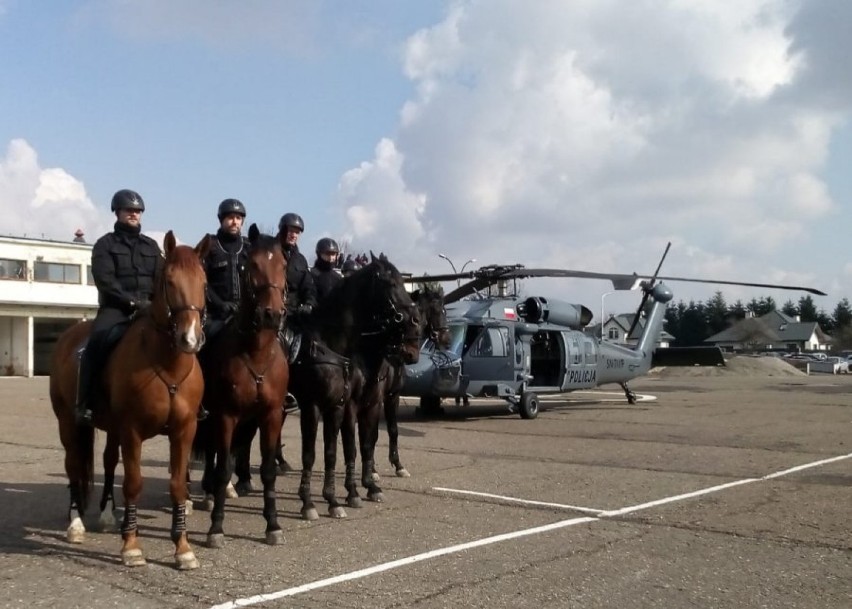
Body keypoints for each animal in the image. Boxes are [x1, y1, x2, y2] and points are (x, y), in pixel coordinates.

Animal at [48, 233, 211, 568]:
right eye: (169, 280)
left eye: (203, 282)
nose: (190, 338)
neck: (167, 364)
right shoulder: (133, 431)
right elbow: (134, 483)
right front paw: (131, 546)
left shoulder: (183, 430)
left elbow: (178, 486)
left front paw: (183, 548)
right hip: (68, 423)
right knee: (73, 464)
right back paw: (76, 524)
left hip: (111, 428)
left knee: (108, 461)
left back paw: (108, 513)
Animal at [194, 223, 290, 548]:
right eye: (253, 265)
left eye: (283, 266)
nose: (272, 315)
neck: (255, 353)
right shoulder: (225, 416)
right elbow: (224, 468)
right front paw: (215, 528)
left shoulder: (270, 416)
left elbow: (269, 471)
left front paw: (273, 525)